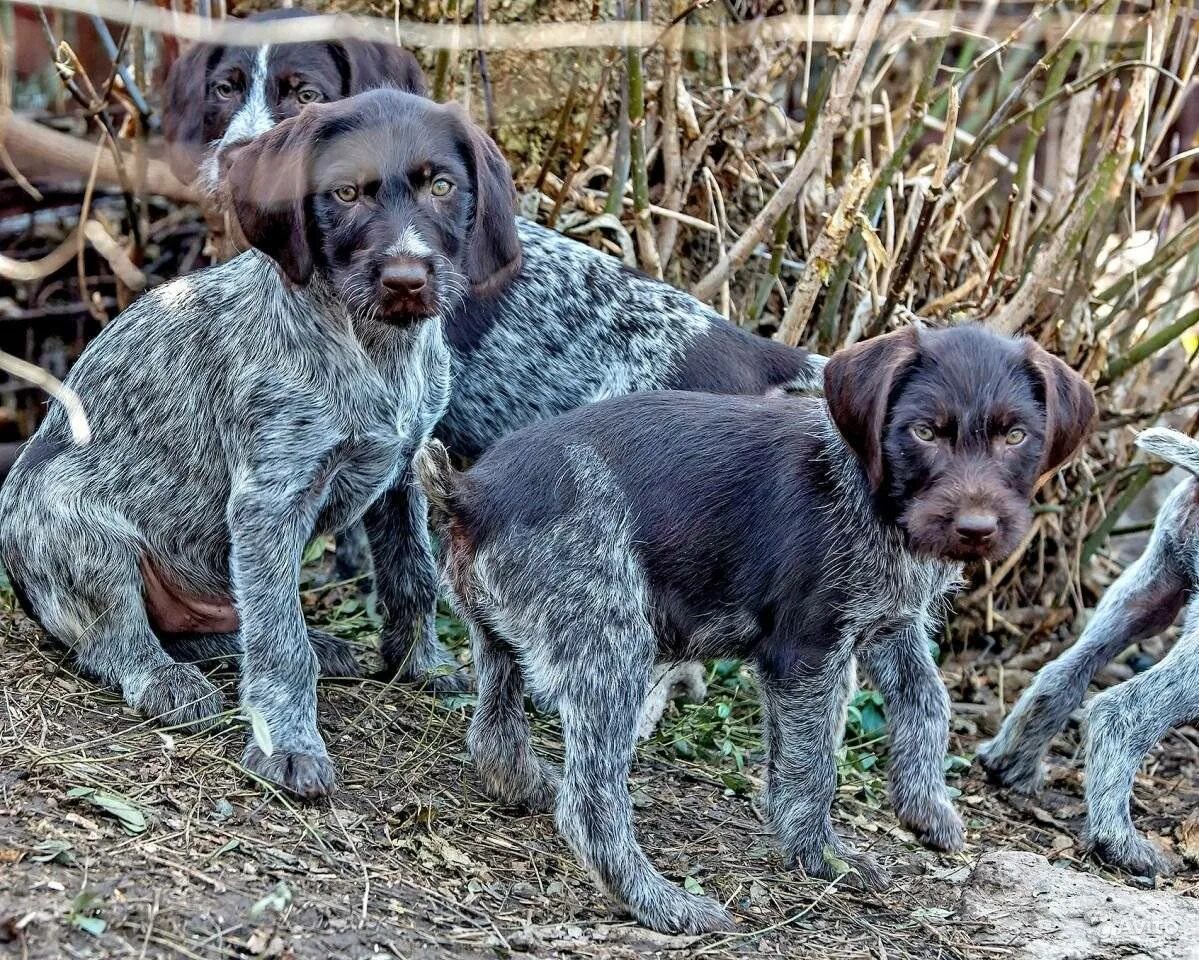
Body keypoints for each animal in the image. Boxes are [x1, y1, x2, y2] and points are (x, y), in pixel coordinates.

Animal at [0, 89, 515, 795]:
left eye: (442, 186)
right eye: (345, 193)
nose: (407, 279)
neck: (374, 346)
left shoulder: (405, 469)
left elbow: (413, 577)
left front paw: (422, 666)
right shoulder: (269, 502)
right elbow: (279, 641)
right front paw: (288, 746)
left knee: (225, 630)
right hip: (79, 529)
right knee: (118, 638)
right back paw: (165, 680)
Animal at [414, 325, 1098, 934]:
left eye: (1016, 436)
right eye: (924, 431)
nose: (976, 529)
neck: (869, 488)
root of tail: (473, 493)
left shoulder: (889, 622)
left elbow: (927, 699)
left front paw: (925, 805)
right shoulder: (807, 651)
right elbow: (813, 761)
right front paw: (819, 855)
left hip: (504, 635)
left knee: (494, 729)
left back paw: (524, 784)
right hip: (611, 647)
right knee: (589, 807)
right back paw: (663, 903)